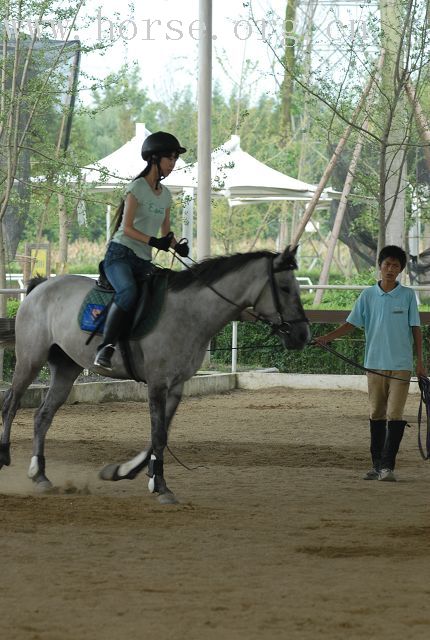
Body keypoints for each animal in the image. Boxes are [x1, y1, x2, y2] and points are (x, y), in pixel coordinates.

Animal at [0, 248, 310, 502]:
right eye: (285, 288)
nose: (302, 334)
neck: (190, 313)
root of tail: (42, 286)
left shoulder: (175, 387)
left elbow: (159, 435)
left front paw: (124, 471)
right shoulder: (157, 384)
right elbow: (158, 434)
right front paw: (160, 486)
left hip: (66, 368)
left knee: (43, 416)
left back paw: (39, 474)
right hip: (30, 360)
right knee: (12, 404)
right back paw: (5, 455)